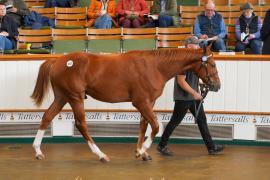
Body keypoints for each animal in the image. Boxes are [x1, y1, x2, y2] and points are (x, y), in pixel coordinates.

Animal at [31, 44, 220, 162]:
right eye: (212, 64)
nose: (216, 86)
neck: (155, 66)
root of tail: (58, 61)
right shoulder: (141, 102)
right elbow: (156, 126)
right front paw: (143, 150)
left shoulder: (149, 102)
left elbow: (144, 125)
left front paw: (141, 152)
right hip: (75, 98)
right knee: (81, 124)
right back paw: (101, 155)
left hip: (62, 97)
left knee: (46, 117)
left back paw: (38, 151)